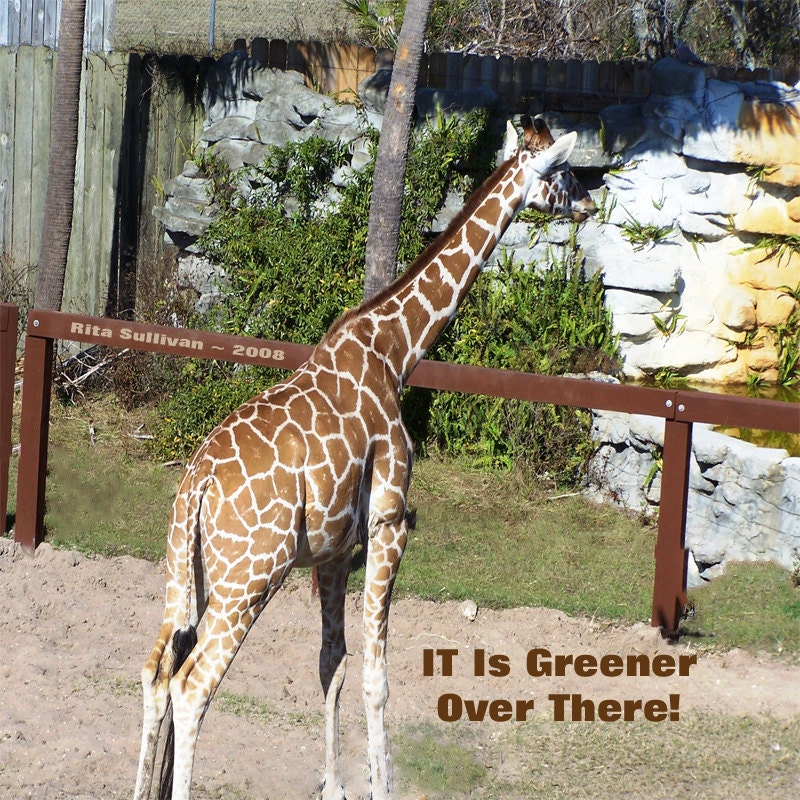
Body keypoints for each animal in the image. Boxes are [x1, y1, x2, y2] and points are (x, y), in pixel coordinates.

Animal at [132, 115, 595, 800]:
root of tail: (199, 483)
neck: (397, 349)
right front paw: (381, 783)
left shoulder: (330, 550)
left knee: (157, 669)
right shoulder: (388, 524)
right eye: (562, 172)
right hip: (249, 576)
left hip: (186, 572)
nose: (591, 201)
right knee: (193, 687)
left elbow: (334, 665)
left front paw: (335, 784)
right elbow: (377, 676)